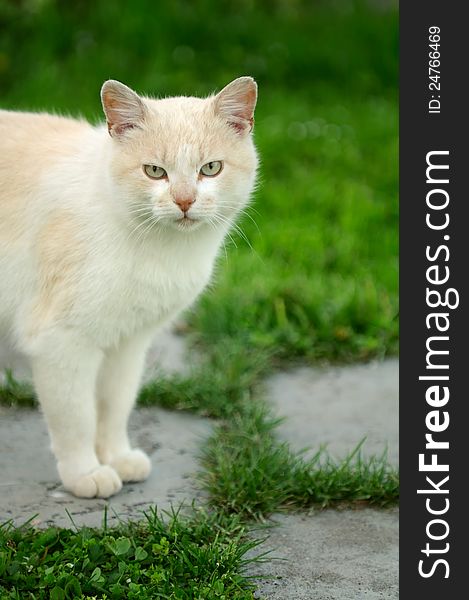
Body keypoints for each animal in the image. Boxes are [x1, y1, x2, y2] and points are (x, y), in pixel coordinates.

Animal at [0, 76, 256, 496]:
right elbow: (77, 417)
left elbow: (115, 406)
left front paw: (117, 458)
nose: (184, 201)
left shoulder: (129, 343)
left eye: (210, 168)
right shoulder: (61, 343)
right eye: (154, 171)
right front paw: (85, 474)